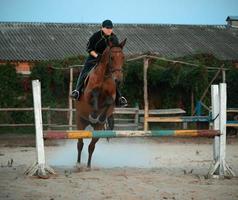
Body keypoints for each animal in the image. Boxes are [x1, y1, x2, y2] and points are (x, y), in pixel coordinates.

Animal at [75, 38, 126, 168]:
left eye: (123, 57)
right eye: (111, 57)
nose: (118, 79)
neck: (105, 76)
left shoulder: (112, 98)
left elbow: (108, 102)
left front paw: (101, 116)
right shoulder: (88, 94)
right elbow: (94, 96)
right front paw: (94, 115)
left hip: (98, 129)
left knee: (91, 146)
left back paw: (88, 165)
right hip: (80, 122)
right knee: (80, 144)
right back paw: (78, 163)